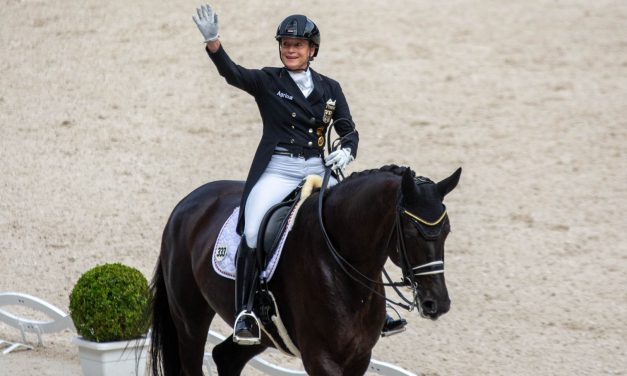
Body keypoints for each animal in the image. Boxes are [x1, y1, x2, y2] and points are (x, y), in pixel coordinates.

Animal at [151, 166, 462, 374]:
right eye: (411, 232)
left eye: (447, 230)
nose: (437, 303)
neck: (341, 263)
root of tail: (187, 203)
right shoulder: (321, 359)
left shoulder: (359, 357)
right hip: (189, 320)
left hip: (263, 334)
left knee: (225, 357)